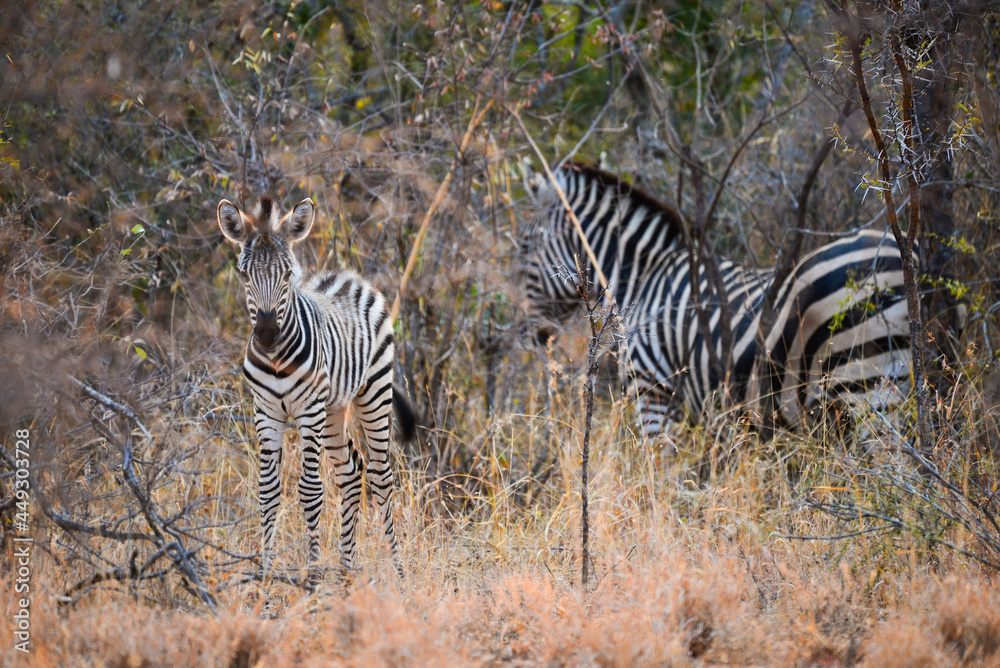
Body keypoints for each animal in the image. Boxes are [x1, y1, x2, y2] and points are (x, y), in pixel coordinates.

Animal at [217, 194, 415, 586]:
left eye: (287, 275)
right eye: (244, 275)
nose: (266, 334)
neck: (277, 358)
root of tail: (349, 278)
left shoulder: (309, 411)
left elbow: (310, 491)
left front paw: (310, 580)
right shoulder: (266, 412)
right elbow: (268, 492)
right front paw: (264, 580)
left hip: (373, 393)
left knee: (380, 475)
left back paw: (399, 573)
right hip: (334, 408)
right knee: (351, 472)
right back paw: (346, 573)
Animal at [521, 162, 912, 436]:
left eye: (524, 246)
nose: (531, 335)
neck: (645, 276)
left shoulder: (653, 390)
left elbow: (661, 475)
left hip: (867, 384)